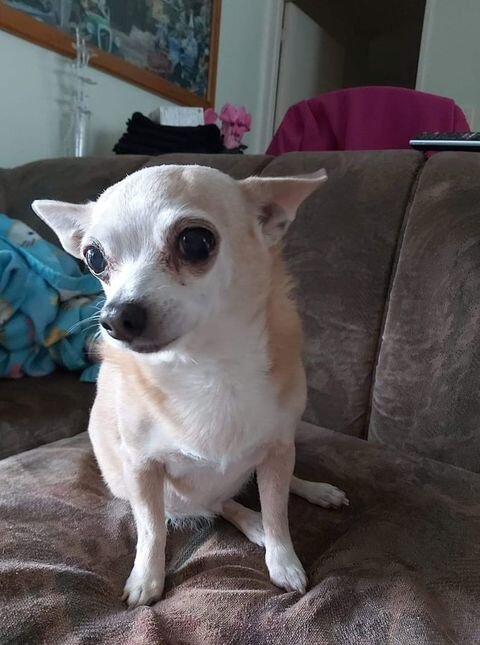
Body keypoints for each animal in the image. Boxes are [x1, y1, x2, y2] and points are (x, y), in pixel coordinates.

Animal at [32, 164, 348, 608]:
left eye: (195, 242)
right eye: (94, 258)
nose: (115, 317)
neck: (207, 365)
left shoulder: (278, 446)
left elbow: (278, 512)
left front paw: (284, 561)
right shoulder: (142, 467)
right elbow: (151, 530)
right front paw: (146, 579)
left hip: (279, 452)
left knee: (272, 487)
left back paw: (312, 492)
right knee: (217, 504)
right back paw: (251, 522)